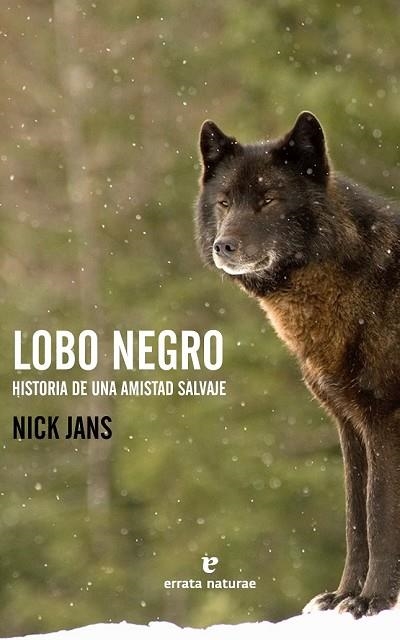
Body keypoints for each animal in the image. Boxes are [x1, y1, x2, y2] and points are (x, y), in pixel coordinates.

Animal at [195, 111, 400, 618]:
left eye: (268, 199)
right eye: (224, 202)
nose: (224, 246)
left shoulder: (383, 420)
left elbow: (378, 513)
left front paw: (374, 600)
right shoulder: (350, 425)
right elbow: (355, 518)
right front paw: (345, 595)